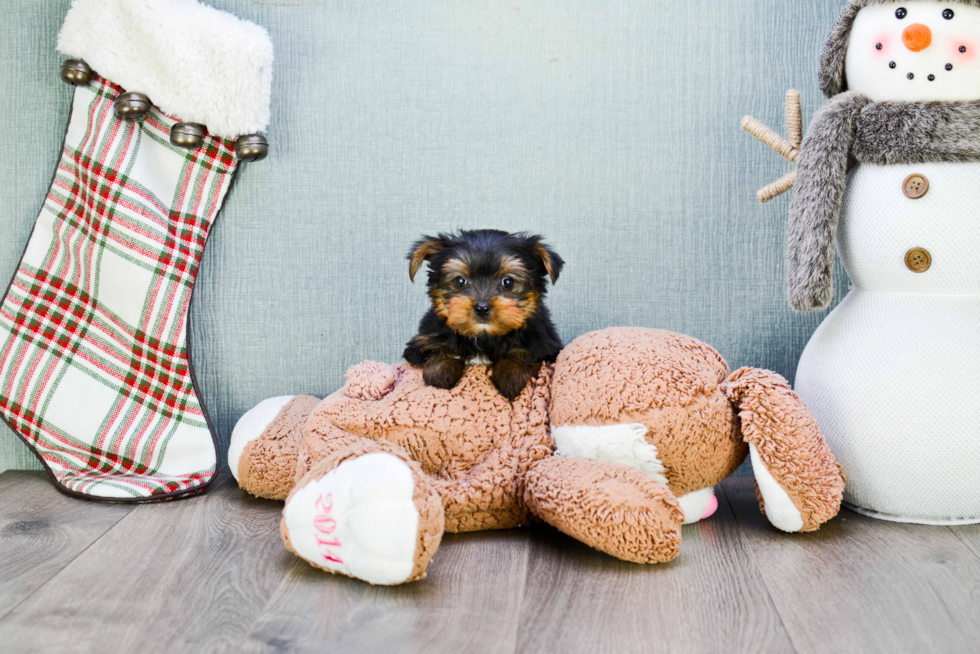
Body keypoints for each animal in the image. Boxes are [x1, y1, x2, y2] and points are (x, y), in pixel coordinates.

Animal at [402, 231, 564, 404]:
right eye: (460, 281)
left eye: (508, 282)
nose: (482, 308)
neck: (484, 336)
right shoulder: (422, 341)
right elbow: (438, 349)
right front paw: (441, 369)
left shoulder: (545, 345)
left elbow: (523, 352)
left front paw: (510, 375)